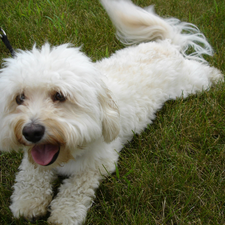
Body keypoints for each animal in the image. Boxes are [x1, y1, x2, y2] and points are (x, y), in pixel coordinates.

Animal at [0, 0, 222, 224]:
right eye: (19, 98)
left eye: (59, 96)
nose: (31, 132)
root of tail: (165, 45)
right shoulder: (34, 160)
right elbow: (31, 174)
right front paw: (27, 202)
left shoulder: (99, 163)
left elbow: (75, 189)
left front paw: (64, 214)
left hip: (189, 85)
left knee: (202, 72)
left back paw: (217, 77)